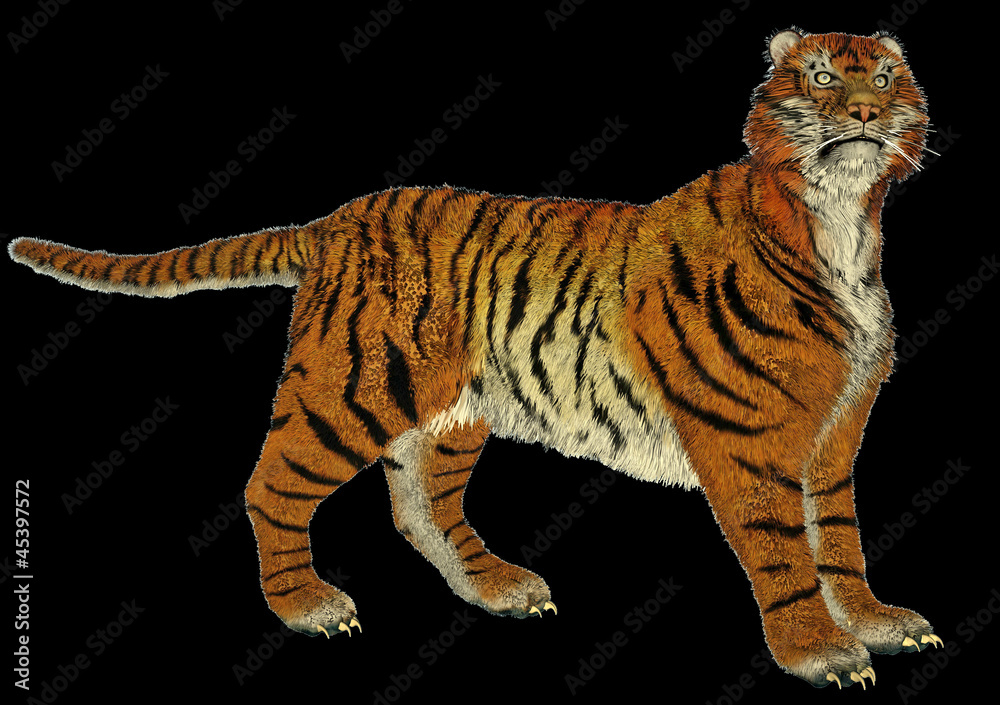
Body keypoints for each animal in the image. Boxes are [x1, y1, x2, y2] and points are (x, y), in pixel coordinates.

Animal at [9, 28, 939, 689]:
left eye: (887, 78)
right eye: (823, 78)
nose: (866, 113)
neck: (845, 224)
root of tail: (333, 220)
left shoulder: (833, 439)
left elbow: (840, 539)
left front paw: (877, 620)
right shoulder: (752, 444)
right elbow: (786, 555)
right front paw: (821, 652)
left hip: (450, 413)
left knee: (421, 507)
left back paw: (499, 587)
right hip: (348, 393)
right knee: (269, 485)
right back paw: (308, 606)